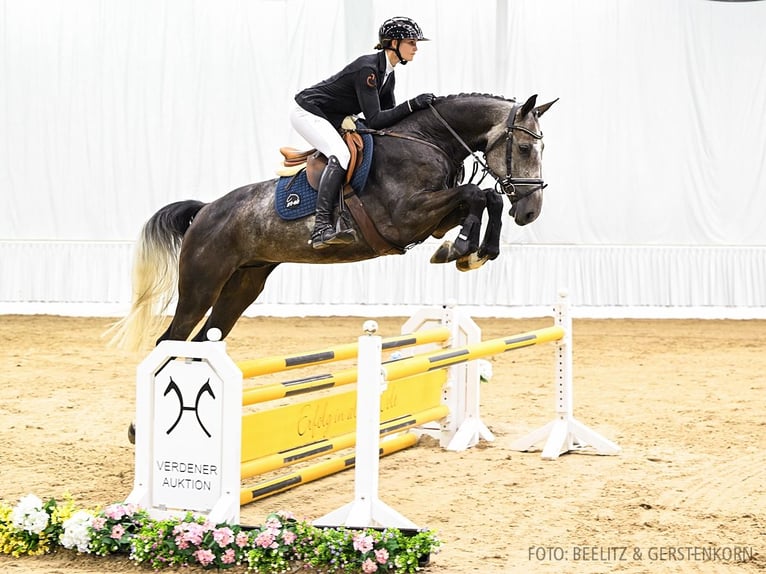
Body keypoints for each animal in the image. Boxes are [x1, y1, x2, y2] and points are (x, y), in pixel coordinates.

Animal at [109, 93, 560, 352]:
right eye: (524, 148)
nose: (531, 212)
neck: (427, 139)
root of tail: (204, 211)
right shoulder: (405, 217)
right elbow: (475, 195)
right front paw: (466, 249)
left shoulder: (428, 220)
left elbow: (483, 198)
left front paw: (467, 252)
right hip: (202, 284)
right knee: (170, 339)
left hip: (244, 284)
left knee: (204, 341)